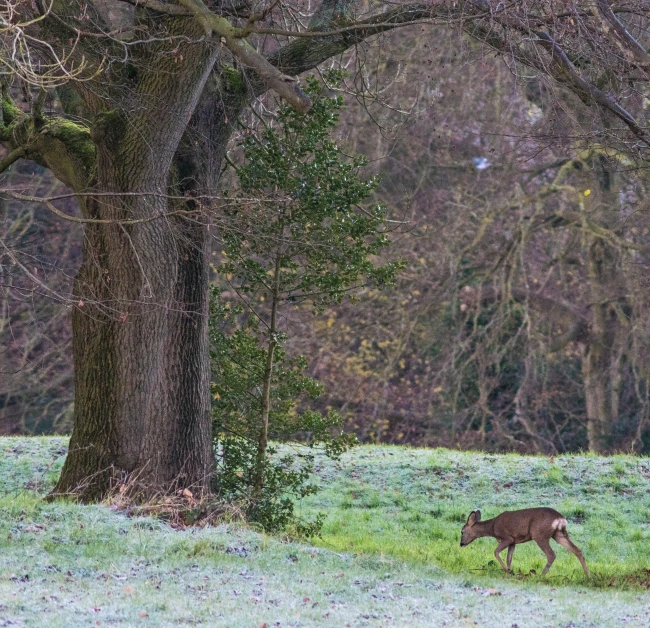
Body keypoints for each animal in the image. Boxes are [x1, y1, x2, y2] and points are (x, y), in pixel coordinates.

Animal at [458, 508, 588, 576]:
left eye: (462, 531)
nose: (461, 544)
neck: (492, 527)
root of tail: (560, 519)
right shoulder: (513, 542)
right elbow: (509, 558)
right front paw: (510, 571)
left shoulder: (507, 538)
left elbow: (495, 552)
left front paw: (507, 570)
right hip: (559, 534)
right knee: (577, 550)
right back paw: (588, 575)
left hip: (539, 534)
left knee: (551, 554)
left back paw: (541, 575)